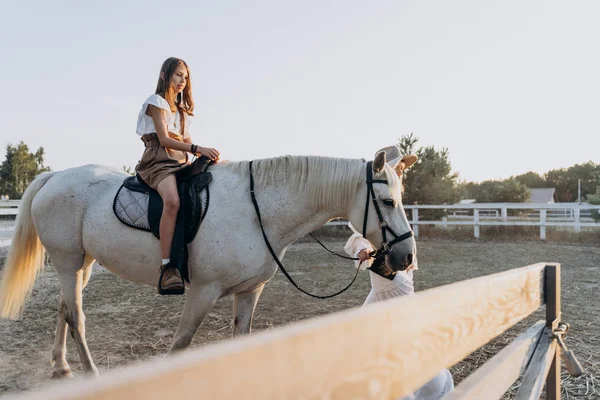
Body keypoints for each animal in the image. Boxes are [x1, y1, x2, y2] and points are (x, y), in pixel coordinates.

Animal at [0, 147, 418, 378]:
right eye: (387, 202)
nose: (407, 256)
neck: (258, 210)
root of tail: (55, 177)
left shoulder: (250, 291)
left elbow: (240, 339)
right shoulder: (202, 292)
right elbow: (181, 345)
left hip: (80, 264)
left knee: (63, 309)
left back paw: (61, 365)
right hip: (68, 262)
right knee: (76, 318)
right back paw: (91, 373)